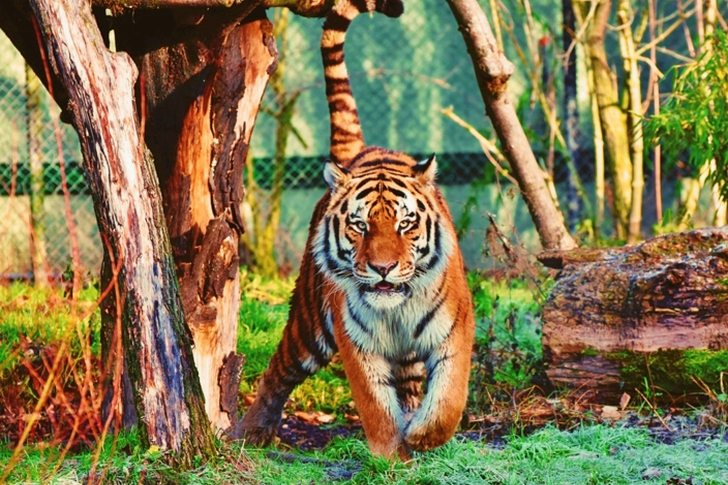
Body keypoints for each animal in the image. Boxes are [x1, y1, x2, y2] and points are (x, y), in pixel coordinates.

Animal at [237, 0, 475, 459]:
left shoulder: (455, 330)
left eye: (405, 224)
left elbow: (449, 399)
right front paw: (390, 455)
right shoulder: (356, 343)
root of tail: (362, 150)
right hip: (309, 324)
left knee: (411, 385)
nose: (383, 268)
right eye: (360, 225)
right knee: (278, 371)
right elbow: (375, 407)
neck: (396, 310)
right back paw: (250, 431)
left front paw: (422, 435)